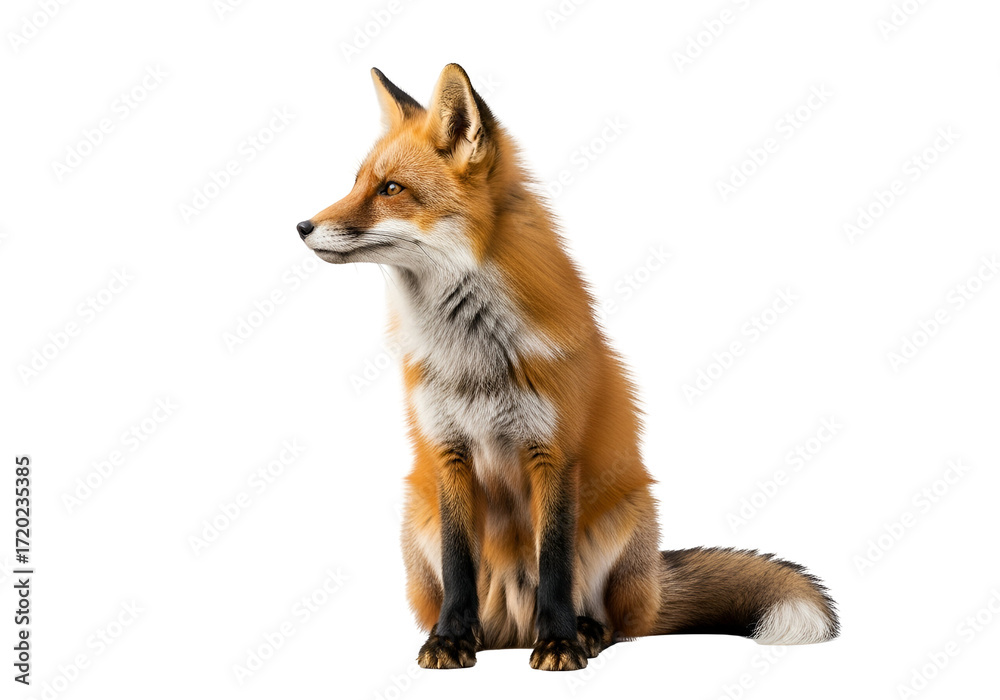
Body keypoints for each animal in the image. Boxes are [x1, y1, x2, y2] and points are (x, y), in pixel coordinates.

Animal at [296, 64, 839, 671]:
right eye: (356, 183)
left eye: (390, 189)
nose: (302, 226)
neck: (475, 358)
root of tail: (511, 627)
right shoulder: (448, 453)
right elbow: (460, 566)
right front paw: (451, 640)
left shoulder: (554, 452)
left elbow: (554, 562)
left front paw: (558, 643)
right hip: (418, 517)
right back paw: (477, 634)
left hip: (626, 515)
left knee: (621, 623)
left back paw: (585, 632)